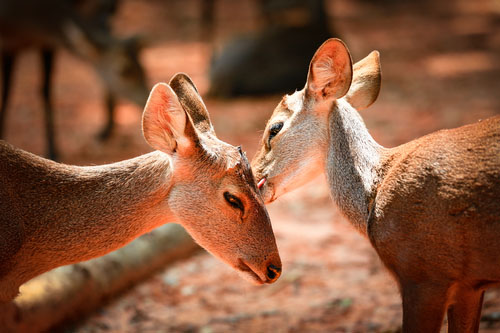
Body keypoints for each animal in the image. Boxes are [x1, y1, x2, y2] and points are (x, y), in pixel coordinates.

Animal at [0, 0, 148, 160]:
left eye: (143, 69)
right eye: (123, 72)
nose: (145, 99)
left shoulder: (47, 43)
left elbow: (46, 91)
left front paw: (52, 150)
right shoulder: (9, 45)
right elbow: (7, 94)